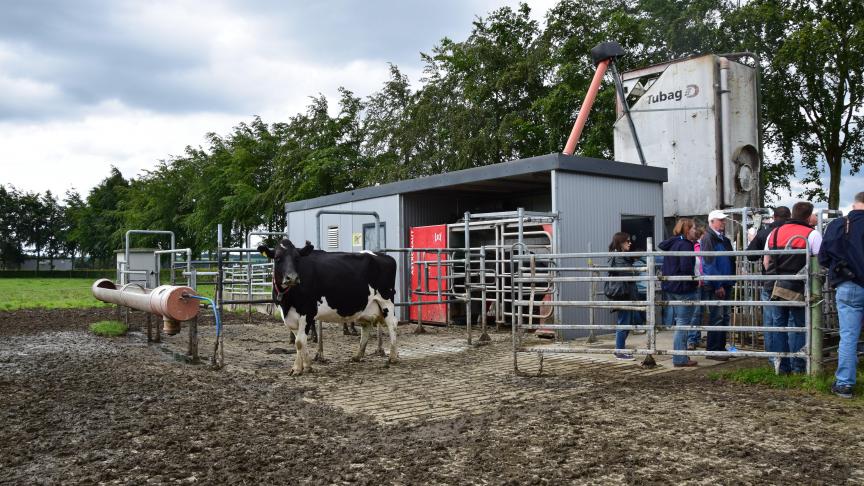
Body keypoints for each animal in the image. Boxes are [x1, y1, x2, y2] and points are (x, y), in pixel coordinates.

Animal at [258, 239, 400, 376]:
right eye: (277, 258)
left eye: (297, 258)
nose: (292, 277)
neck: (288, 301)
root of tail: (384, 256)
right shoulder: (289, 317)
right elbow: (298, 342)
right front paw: (301, 367)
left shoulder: (307, 312)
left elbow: (299, 341)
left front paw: (302, 368)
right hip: (365, 307)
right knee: (366, 327)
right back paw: (357, 356)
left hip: (386, 300)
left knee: (392, 324)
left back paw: (393, 357)